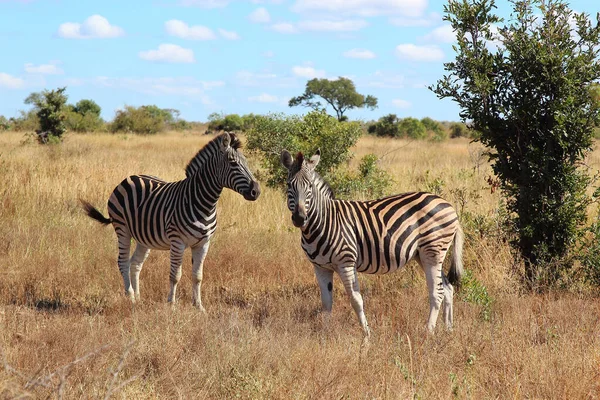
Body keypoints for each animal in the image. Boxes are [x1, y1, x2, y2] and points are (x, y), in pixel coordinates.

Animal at [80, 132, 260, 310]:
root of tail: (130, 177)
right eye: (233, 163)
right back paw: (130, 297)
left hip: (143, 237)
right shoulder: (177, 241)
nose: (256, 191)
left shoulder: (203, 243)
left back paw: (138, 298)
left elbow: (198, 276)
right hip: (122, 229)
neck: (204, 203)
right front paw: (171, 305)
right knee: (123, 262)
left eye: (247, 162)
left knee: (135, 263)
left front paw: (199, 306)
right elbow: (175, 275)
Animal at [282, 148, 464, 340]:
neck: (323, 222)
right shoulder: (320, 267)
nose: (299, 218)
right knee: (447, 288)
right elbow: (326, 302)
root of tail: (448, 205)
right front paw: (325, 334)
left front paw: (367, 335)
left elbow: (356, 300)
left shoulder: (346, 263)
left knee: (437, 292)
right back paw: (448, 329)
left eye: (310, 186)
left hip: (433, 251)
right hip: (423, 255)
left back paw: (428, 332)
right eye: (288, 185)